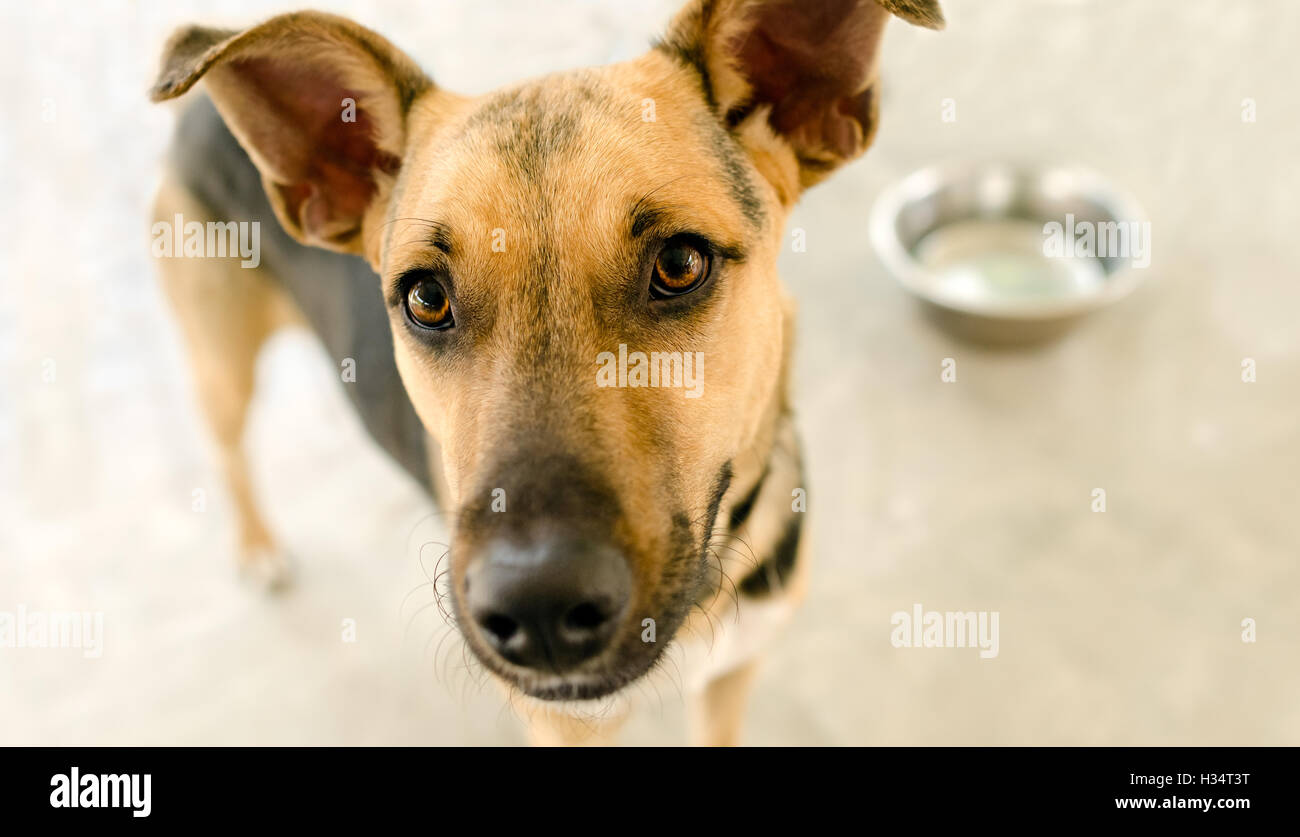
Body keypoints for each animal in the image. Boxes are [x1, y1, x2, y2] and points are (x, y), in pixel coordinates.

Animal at [149, 0, 946, 743]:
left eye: (680, 262)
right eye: (426, 297)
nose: (536, 608)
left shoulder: (734, 673)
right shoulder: (564, 725)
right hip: (221, 365)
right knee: (228, 451)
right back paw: (258, 547)